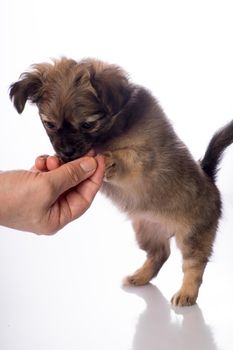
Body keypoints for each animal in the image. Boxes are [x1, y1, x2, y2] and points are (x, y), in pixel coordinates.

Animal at [10, 57, 233, 306]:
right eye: (49, 124)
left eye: (87, 125)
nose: (66, 152)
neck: (110, 131)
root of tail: (209, 178)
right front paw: (51, 162)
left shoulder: (146, 156)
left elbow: (127, 156)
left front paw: (109, 160)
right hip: (146, 231)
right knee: (160, 254)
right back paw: (140, 276)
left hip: (193, 235)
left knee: (194, 265)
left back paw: (187, 293)